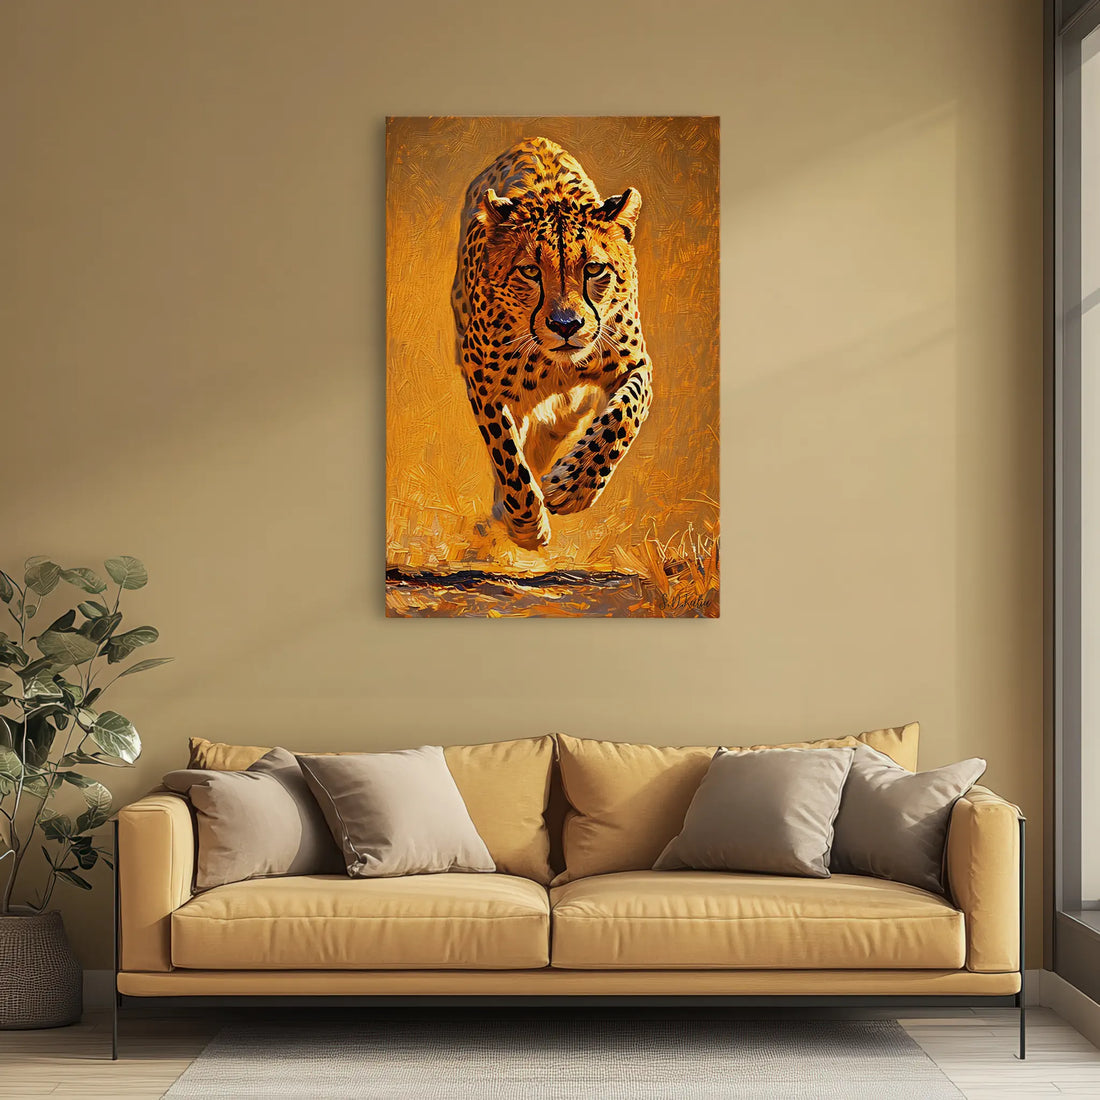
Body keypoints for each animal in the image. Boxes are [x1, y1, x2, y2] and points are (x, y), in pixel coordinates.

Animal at [451, 136, 653, 550]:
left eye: (594, 269)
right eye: (530, 271)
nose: (565, 325)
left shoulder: (636, 364)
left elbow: (623, 417)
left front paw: (571, 487)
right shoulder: (483, 385)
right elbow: (507, 457)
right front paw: (527, 525)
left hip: (568, 414)